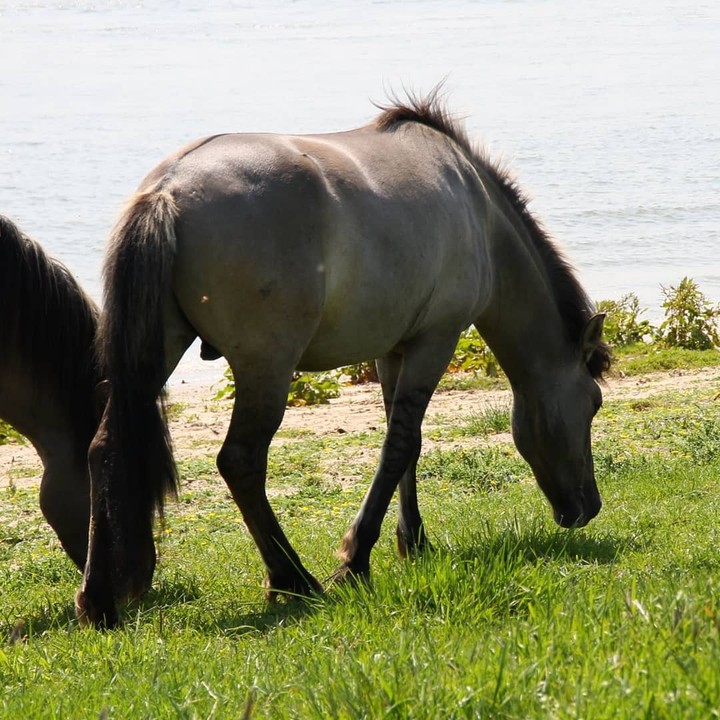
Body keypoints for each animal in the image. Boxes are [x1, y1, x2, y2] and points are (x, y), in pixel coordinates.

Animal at [76, 93, 611, 627]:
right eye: (593, 402)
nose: (588, 506)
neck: (475, 206)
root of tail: (168, 189)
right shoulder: (435, 341)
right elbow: (399, 445)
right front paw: (356, 559)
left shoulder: (395, 349)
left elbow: (408, 445)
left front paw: (412, 541)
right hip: (266, 367)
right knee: (241, 461)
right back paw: (293, 580)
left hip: (162, 349)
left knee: (104, 448)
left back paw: (98, 600)